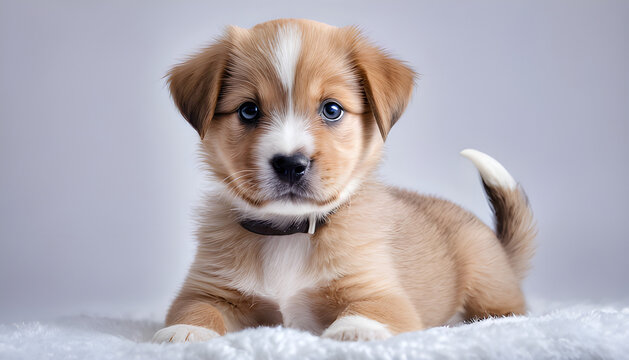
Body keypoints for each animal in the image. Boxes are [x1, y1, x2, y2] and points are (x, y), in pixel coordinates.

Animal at [152, 17, 536, 344]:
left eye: (332, 109)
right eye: (249, 110)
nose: (290, 164)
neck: (289, 235)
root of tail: (500, 247)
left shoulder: (380, 292)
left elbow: (368, 311)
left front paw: (355, 330)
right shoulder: (208, 290)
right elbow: (198, 309)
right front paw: (185, 332)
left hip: (485, 281)